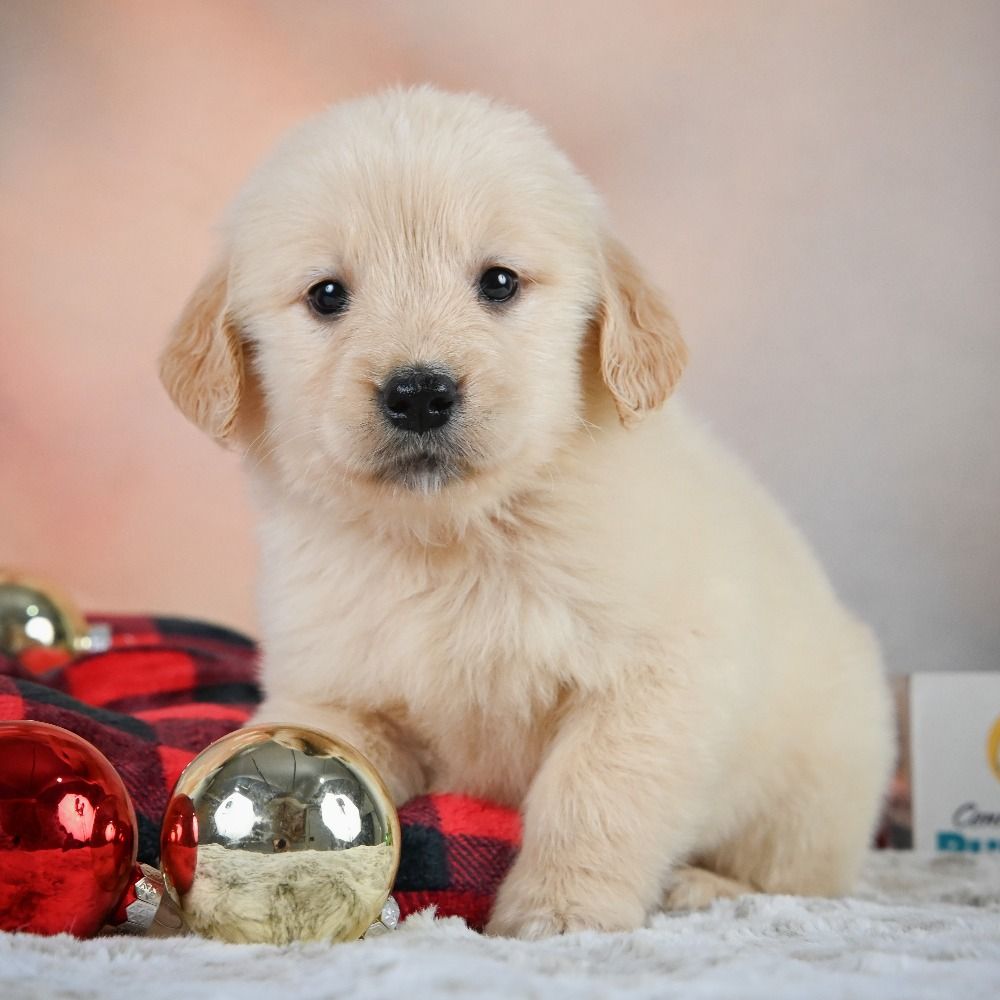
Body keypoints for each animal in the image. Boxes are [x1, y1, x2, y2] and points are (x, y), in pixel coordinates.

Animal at [160, 86, 896, 936]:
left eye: (501, 282)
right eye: (327, 295)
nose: (420, 393)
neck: (456, 535)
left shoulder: (654, 681)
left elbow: (593, 797)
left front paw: (560, 908)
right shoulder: (334, 688)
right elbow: (320, 752)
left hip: (814, 785)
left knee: (799, 877)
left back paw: (709, 885)